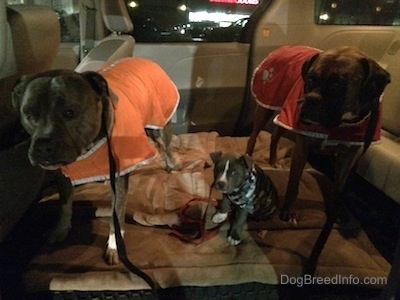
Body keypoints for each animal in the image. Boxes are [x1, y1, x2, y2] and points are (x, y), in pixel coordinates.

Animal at [11, 58, 180, 264]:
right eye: (28, 113)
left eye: (69, 112)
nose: (42, 147)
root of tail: (144, 59)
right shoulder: (64, 175)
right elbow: (64, 205)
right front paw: (60, 230)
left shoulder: (120, 180)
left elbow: (117, 217)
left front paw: (114, 247)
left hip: (160, 123)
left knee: (165, 146)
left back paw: (171, 166)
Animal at [247, 46, 390, 223]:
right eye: (309, 79)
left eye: (337, 84)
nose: (310, 99)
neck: (342, 122)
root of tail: (284, 47)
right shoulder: (302, 147)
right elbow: (294, 182)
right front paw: (289, 211)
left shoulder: (348, 157)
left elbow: (339, 186)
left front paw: (337, 211)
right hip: (267, 108)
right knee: (253, 137)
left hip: (284, 114)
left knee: (275, 136)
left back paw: (273, 161)